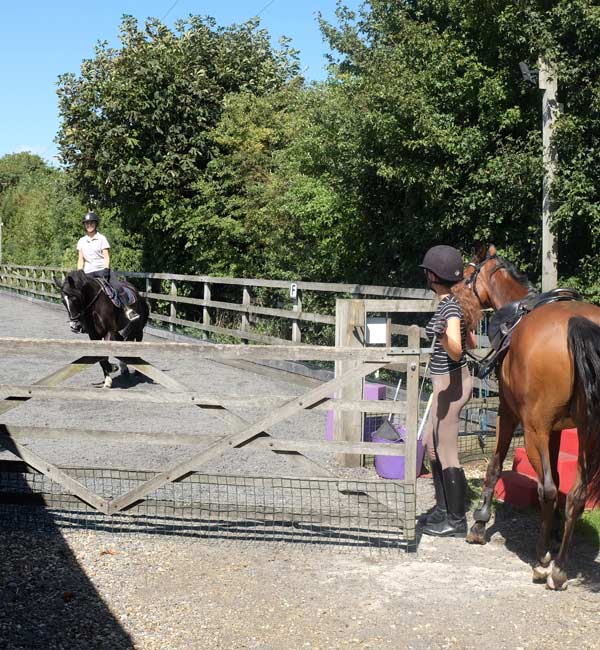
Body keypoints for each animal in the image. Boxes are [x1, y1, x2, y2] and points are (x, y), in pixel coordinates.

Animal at [464, 243, 600, 588]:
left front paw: (480, 523)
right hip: (589, 434)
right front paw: (552, 532)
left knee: (548, 490)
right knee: (576, 495)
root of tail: (577, 322)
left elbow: (496, 464)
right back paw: (560, 565)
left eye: (466, 274)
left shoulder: (510, 412)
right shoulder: (557, 428)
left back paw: (542, 560)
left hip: (533, 428)